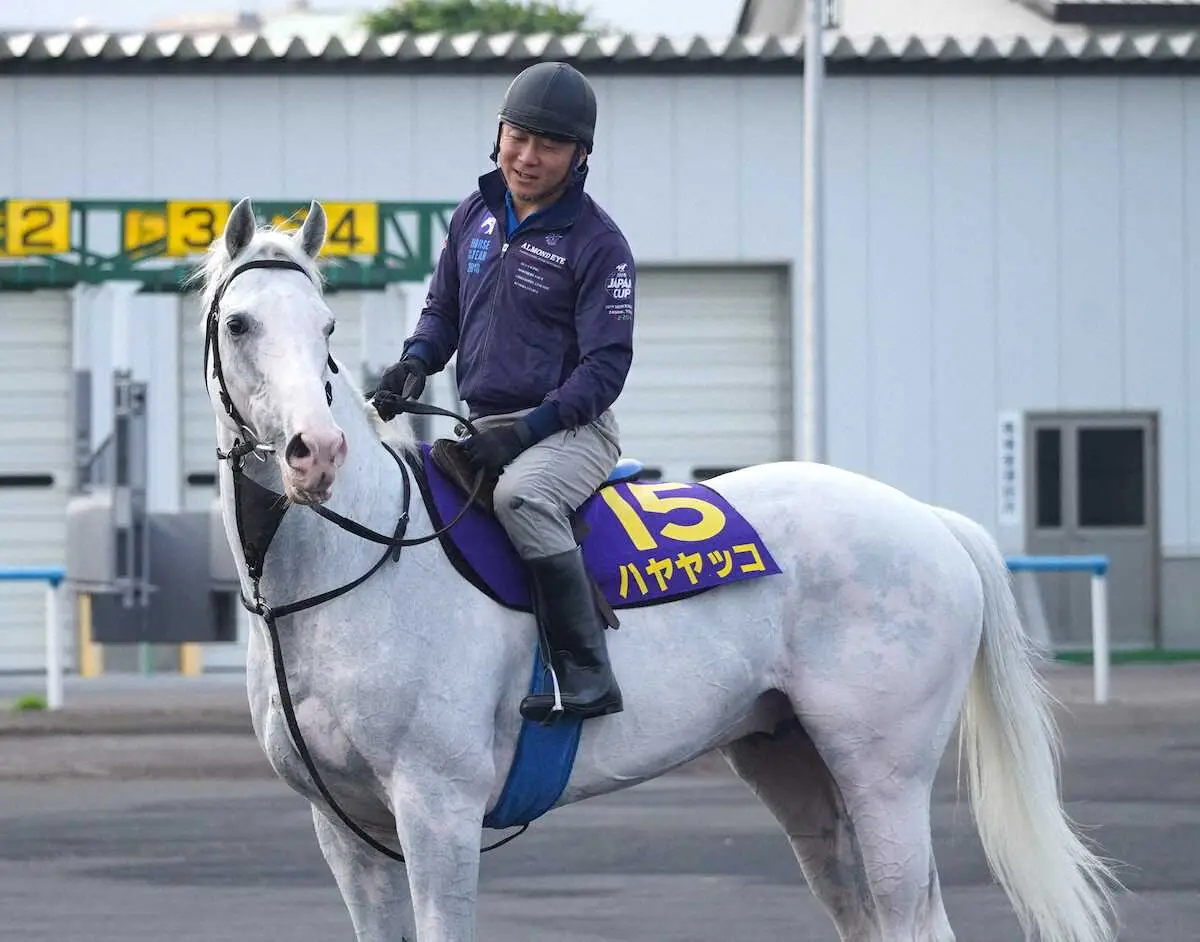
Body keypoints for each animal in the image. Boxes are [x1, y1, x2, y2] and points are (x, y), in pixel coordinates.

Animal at [199, 194, 1123, 936]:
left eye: (324, 327)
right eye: (240, 324)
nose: (315, 452)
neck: (358, 564)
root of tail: (931, 521)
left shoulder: (438, 811)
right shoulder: (347, 831)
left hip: (883, 772)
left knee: (910, 916)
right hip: (794, 767)